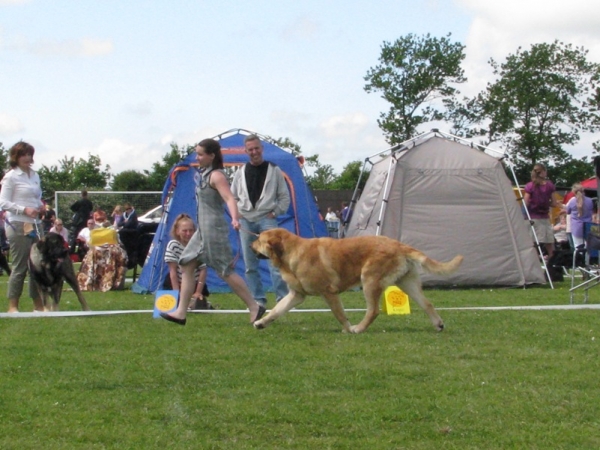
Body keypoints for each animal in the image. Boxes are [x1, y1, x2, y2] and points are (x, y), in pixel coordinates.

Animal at [251, 230, 462, 332]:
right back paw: (438, 325)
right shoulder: (297, 295)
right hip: (406, 283)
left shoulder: (329, 292)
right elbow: (276, 311)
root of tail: (400, 245)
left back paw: (359, 329)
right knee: (427, 303)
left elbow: (340, 314)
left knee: (373, 310)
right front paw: (261, 323)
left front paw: (347, 329)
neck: (291, 252)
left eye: (259, 239)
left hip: (369, 280)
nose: (251, 244)